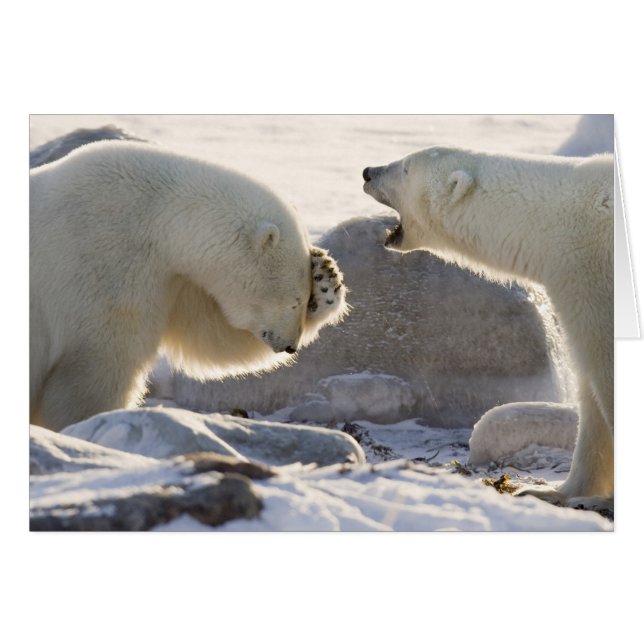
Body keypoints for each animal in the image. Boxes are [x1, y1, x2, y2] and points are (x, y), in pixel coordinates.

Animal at [30, 140, 347, 431]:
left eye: (304, 299)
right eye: (294, 300)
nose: (290, 346)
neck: (155, 217)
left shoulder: (172, 277)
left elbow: (210, 334)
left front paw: (326, 278)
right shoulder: (104, 260)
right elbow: (98, 361)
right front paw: (90, 422)